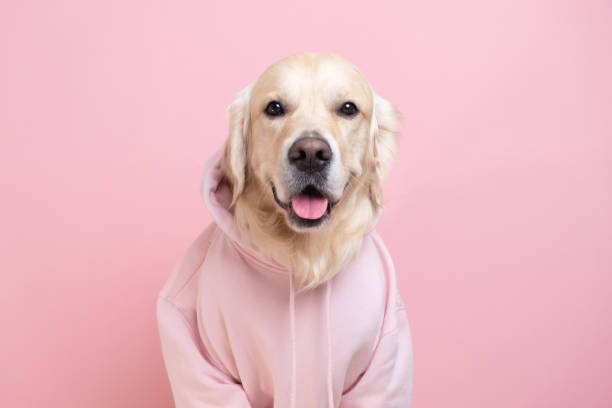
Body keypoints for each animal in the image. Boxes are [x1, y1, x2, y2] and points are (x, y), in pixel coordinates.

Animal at [159, 52, 416, 406]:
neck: (304, 259)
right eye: (274, 108)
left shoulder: (382, 369)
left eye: (348, 108)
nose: (310, 153)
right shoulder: (205, 369)